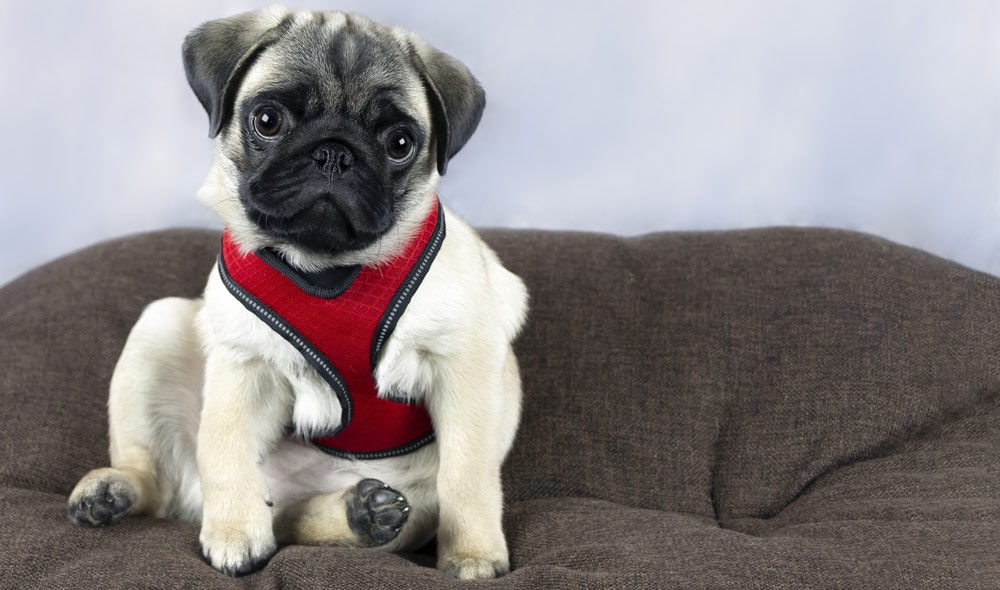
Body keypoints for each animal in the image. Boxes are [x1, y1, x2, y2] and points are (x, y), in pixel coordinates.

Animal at [66, 6, 528, 584]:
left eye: (400, 143)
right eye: (268, 121)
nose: (334, 153)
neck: (327, 271)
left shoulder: (462, 367)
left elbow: (468, 473)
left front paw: (472, 555)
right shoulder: (244, 366)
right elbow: (224, 447)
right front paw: (234, 535)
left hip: (415, 504)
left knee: (301, 521)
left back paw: (363, 515)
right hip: (160, 325)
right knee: (164, 485)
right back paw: (114, 491)